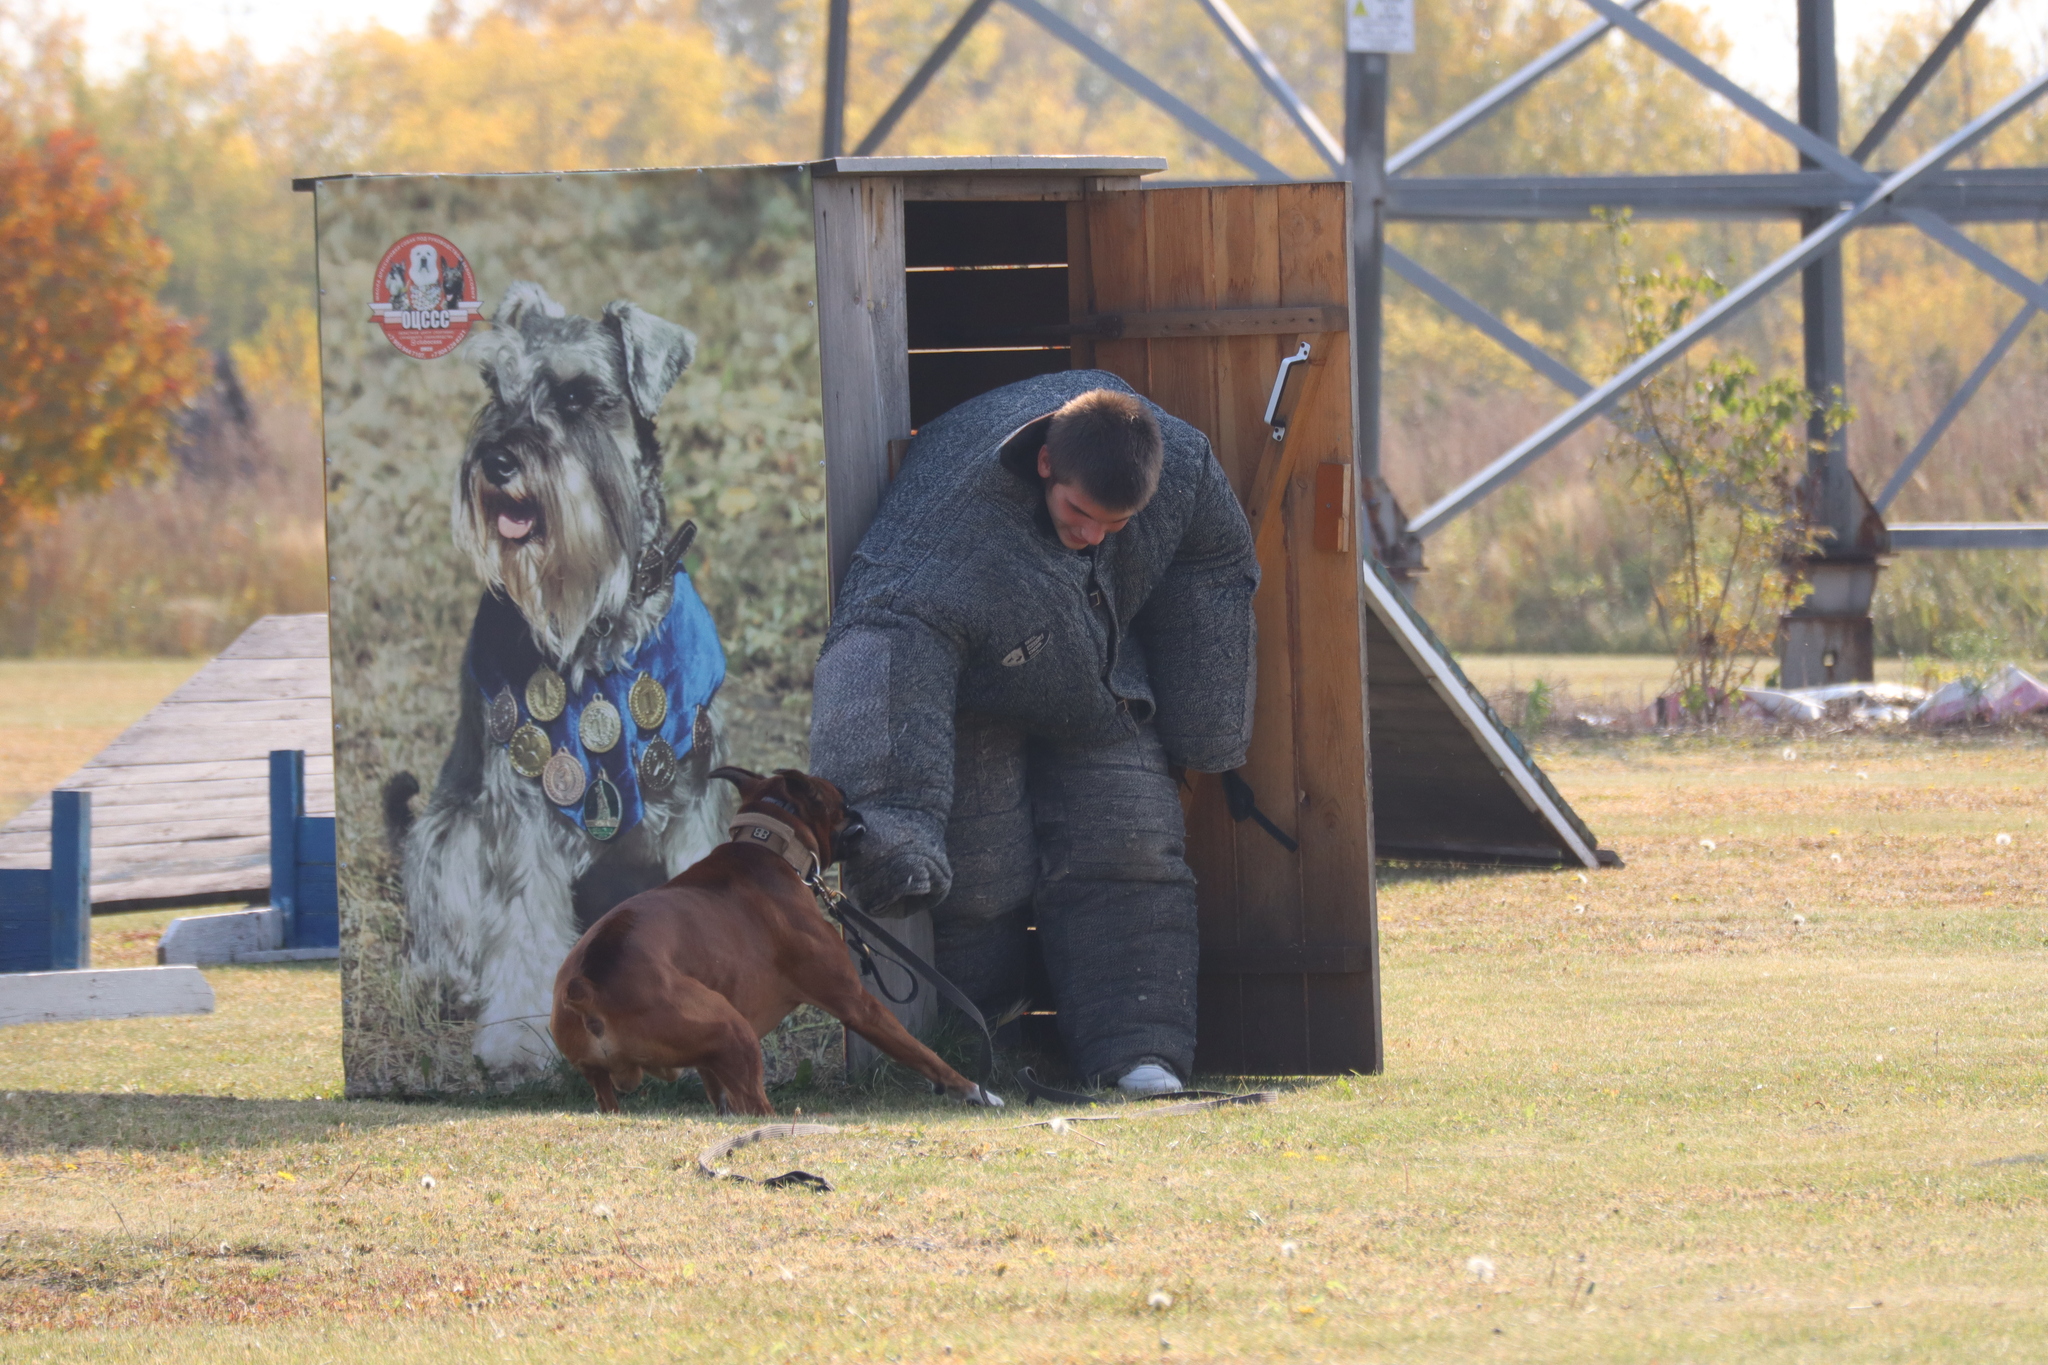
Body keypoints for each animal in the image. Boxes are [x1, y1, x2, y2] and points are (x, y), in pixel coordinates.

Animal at [387, 286, 733, 1080]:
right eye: (495, 388)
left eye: (578, 396)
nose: (497, 459)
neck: (599, 625)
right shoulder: (520, 806)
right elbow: (522, 919)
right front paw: (519, 1035)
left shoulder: (690, 784)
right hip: (447, 833)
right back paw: (444, 982)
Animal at [548, 765, 1003, 1113]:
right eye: (841, 797)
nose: (862, 810)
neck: (770, 849)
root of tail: (587, 982)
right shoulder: (858, 1004)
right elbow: (922, 1053)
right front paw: (973, 1090)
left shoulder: (711, 1061)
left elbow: (717, 1091)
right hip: (734, 1029)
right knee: (756, 1105)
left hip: (615, 1078)